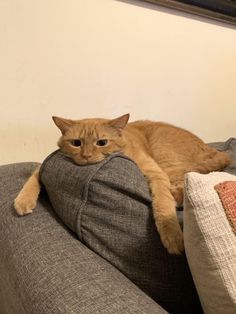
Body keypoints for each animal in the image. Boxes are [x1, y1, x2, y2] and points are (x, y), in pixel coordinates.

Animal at [13, 115, 230, 255]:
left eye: (102, 142)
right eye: (76, 143)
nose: (86, 156)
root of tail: (214, 150)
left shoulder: (156, 173)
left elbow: (162, 204)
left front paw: (172, 235)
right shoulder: (45, 164)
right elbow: (34, 175)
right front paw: (23, 200)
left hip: (166, 156)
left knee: (182, 183)